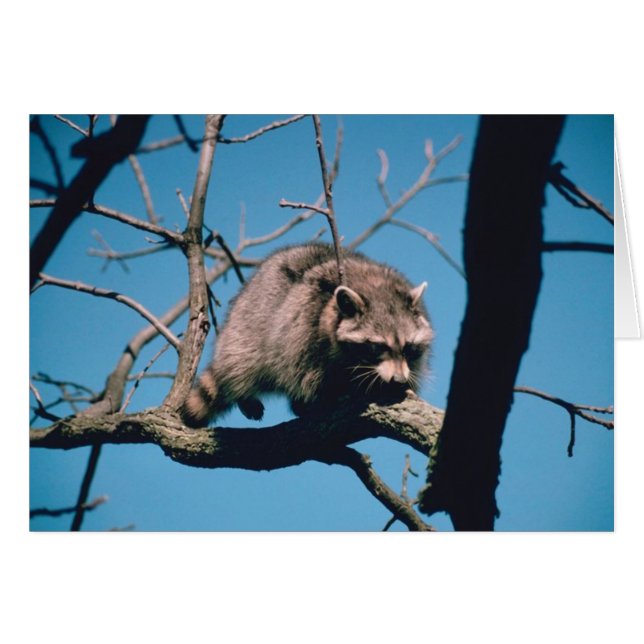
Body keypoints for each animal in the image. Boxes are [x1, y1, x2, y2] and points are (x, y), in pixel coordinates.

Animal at [181, 243, 433, 427]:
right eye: (378, 347)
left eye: (408, 347)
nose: (398, 379)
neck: (374, 285)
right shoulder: (304, 330)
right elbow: (304, 376)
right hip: (248, 322)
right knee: (244, 360)